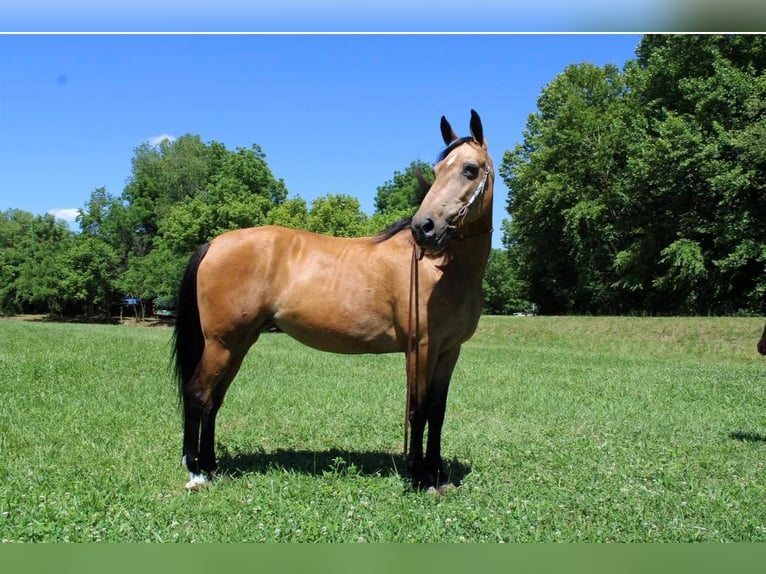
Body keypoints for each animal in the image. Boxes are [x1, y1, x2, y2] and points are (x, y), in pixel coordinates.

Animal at [172, 109, 498, 496]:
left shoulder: (449, 351)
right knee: (198, 394)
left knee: (214, 400)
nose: (424, 227)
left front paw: (438, 474)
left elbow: (437, 411)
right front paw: (420, 476)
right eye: (435, 171)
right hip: (221, 344)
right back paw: (195, 472)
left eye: (470, 169)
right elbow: (417, 411)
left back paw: (210, 465)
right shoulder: (421, 348)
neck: (441, 271)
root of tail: (213, 244)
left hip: (238, 344)